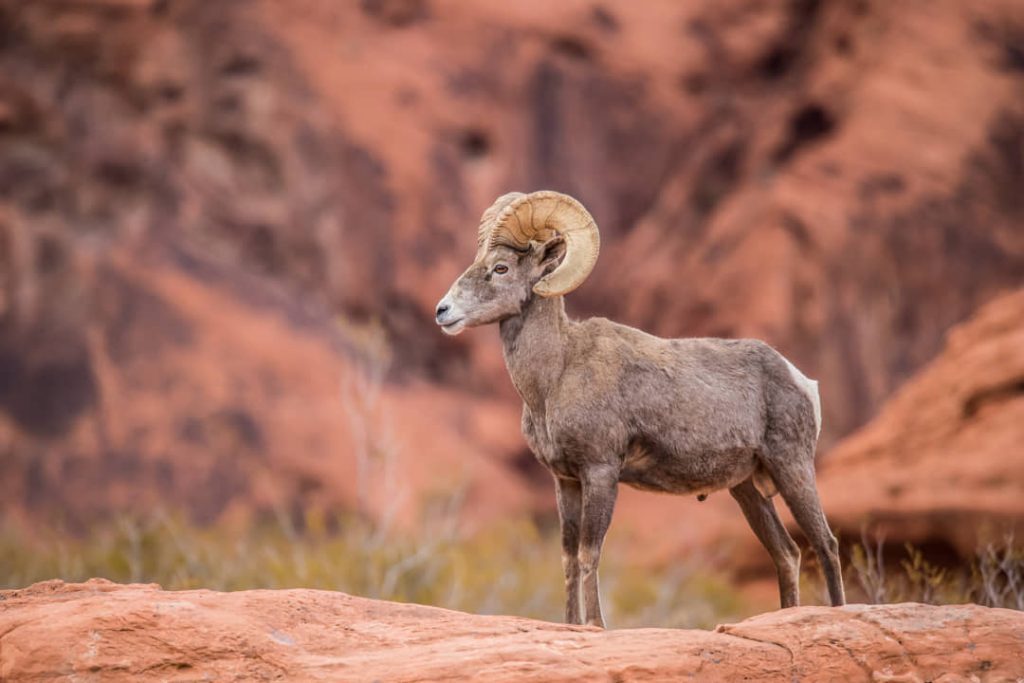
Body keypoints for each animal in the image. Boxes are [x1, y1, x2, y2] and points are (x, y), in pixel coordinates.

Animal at [435, 191, 845, 627]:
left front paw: (596, 625)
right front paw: (571, 624)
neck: (555, 375)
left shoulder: (600, 472)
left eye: (501, 268)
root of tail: (801, 380)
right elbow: (568, 558)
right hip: (748, 488)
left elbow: (589, 553)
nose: (443, 311)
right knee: (787, 553)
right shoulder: (565, 482)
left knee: (826, 543)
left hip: (792, 466)